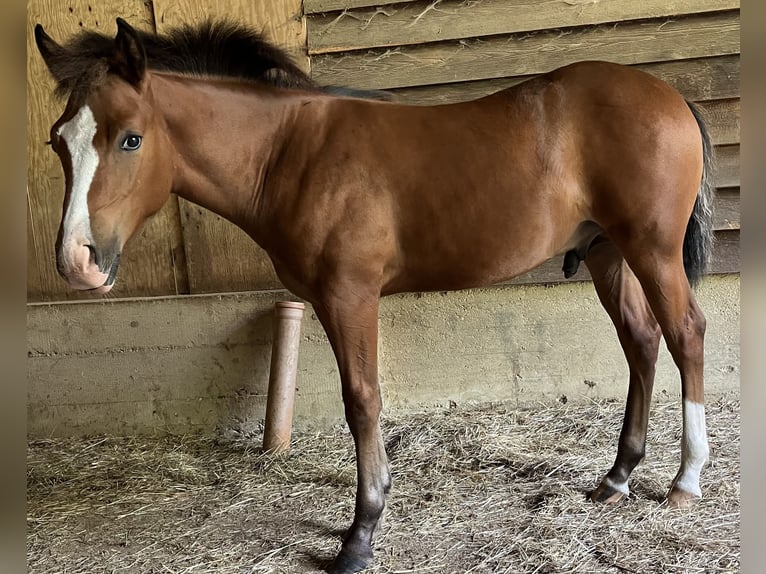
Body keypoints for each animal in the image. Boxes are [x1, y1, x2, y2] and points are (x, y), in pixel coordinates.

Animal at [34, 18, 714, 574]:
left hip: (651, 251)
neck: (291, 152)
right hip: (607, 253)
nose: (77, 262)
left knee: (686, 334)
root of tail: (669, 96)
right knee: (641, 342)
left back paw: (685, 481)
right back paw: (617, 477)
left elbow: (362, 401)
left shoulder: (349, 296)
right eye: (57, 141)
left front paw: (360, 535)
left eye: (130, 138)